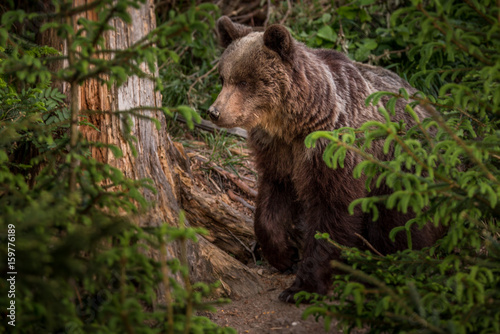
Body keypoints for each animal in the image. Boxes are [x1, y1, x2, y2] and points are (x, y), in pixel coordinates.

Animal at [207, 15, 442, 302]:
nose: (215, 112)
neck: (296, 124)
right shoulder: (279, 153)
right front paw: (284, 254)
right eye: (223, 78)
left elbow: (332, 212)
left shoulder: (334, 153)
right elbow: (272, 198)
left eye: (244, 81)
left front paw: (302, 286)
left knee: (401, 224)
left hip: (402, 171)